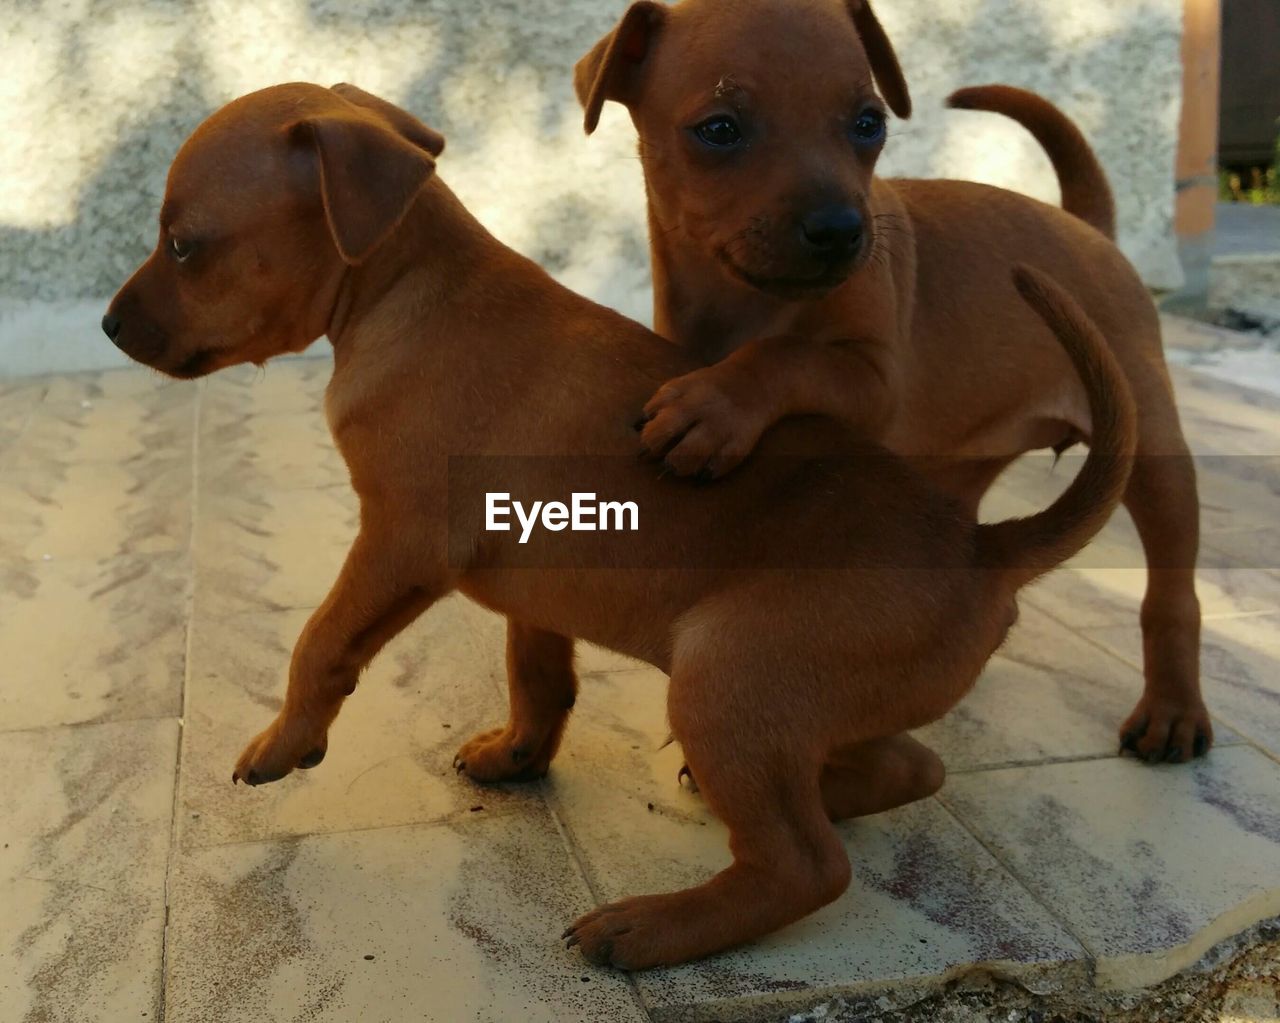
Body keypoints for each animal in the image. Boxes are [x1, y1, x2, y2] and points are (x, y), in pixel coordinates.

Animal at [576, 0, 1213, 768]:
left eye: (867, 123)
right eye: (719, 129)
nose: (839, 230)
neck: (743, 298)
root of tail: (1088, 228)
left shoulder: (873, 380)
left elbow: (785, 356)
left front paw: (713, 407)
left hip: (1154, 449)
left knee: (1173, 594)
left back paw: (1172, 710)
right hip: (958, 464)